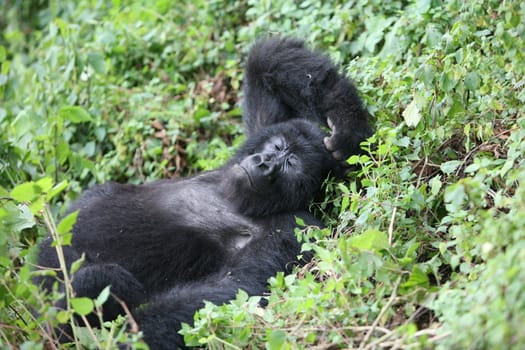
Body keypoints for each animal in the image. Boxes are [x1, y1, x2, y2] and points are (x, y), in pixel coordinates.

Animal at [34, 37, 372, 348]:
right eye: (277, 147)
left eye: (290, 165)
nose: (264, 164)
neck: (235, 199)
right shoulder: (266, 129)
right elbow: (266, 64)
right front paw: (348, 124)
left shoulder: (294, 227)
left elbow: (229, 291)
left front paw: (132, 338)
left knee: (101, 281)